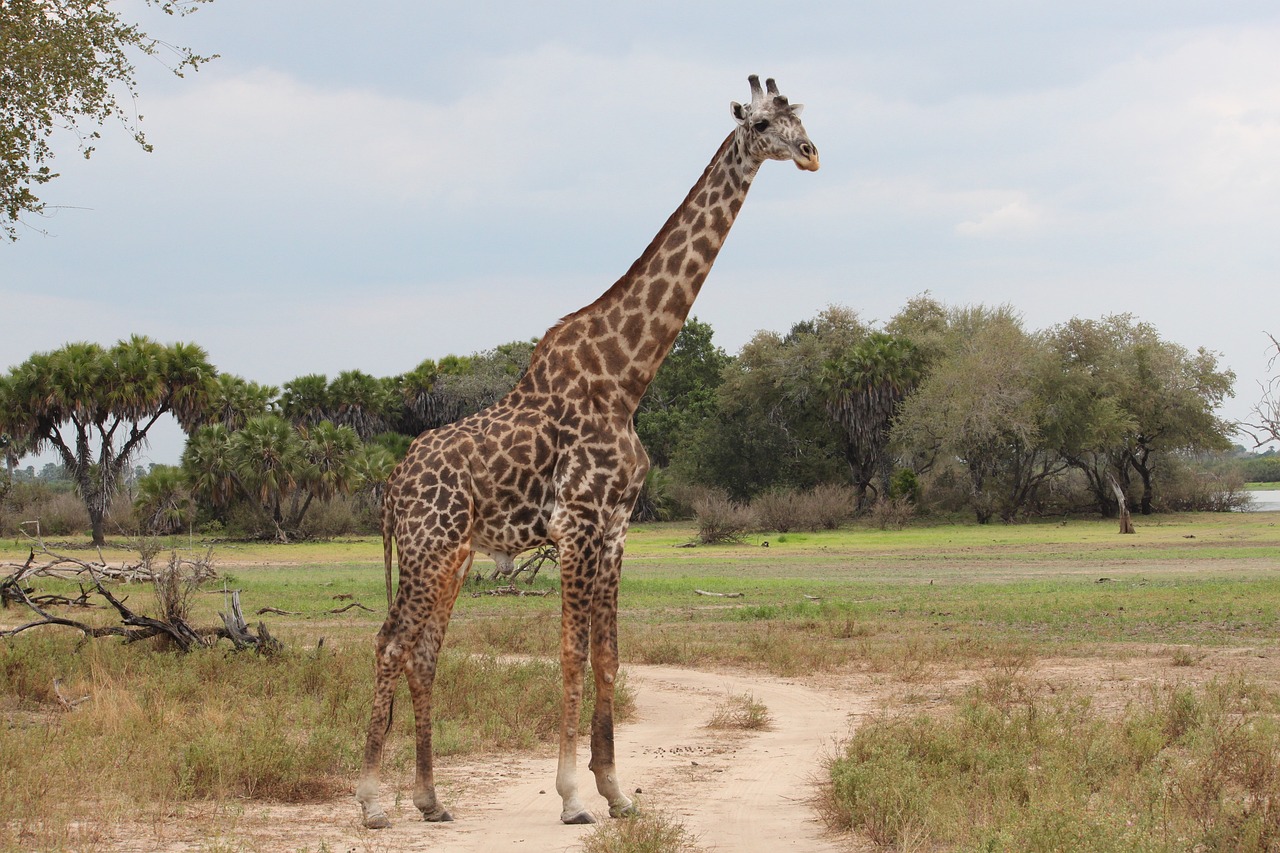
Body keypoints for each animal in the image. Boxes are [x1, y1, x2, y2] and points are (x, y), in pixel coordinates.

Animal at [360, 76, 819, 824]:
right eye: (759, 122)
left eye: (799, 115)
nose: (810, 153)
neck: (627, 378)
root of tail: (394, 482)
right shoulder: (574, 522)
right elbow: (572, 654)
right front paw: (574, 795)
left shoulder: (616, 526)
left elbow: (608, 655)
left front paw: (616, 790)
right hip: (428, 547)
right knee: (391, 642)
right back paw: (373, 801)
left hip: (453, 555)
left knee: (423, 650)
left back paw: (430, 799)